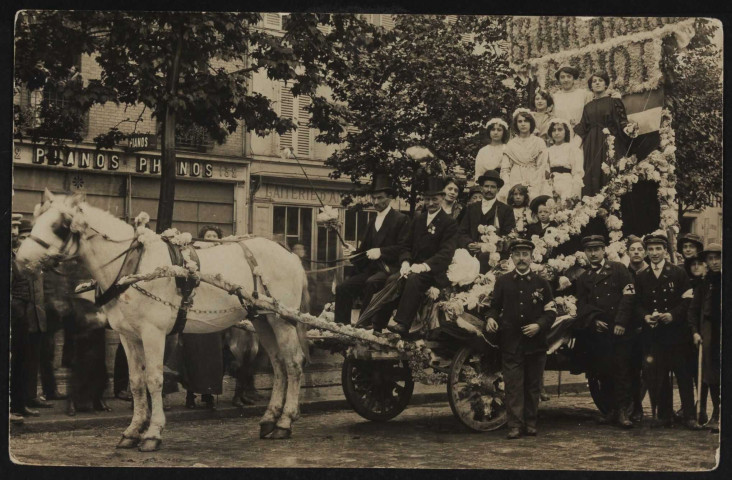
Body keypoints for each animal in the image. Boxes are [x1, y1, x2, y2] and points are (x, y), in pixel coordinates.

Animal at [17, 190, 308, 450]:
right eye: (37, 219)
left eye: (60, 226)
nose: (20, 259)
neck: (131, 267)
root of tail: (289, 254)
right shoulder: (128, 335)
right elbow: (136, 382)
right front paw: (132, 431)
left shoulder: (153, 333)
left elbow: (154, 380)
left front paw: (152, 433)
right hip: (262, 320)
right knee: (279, 365)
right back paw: (270, 419)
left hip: (282, 319)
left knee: (293, 365)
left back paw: (285, 422)